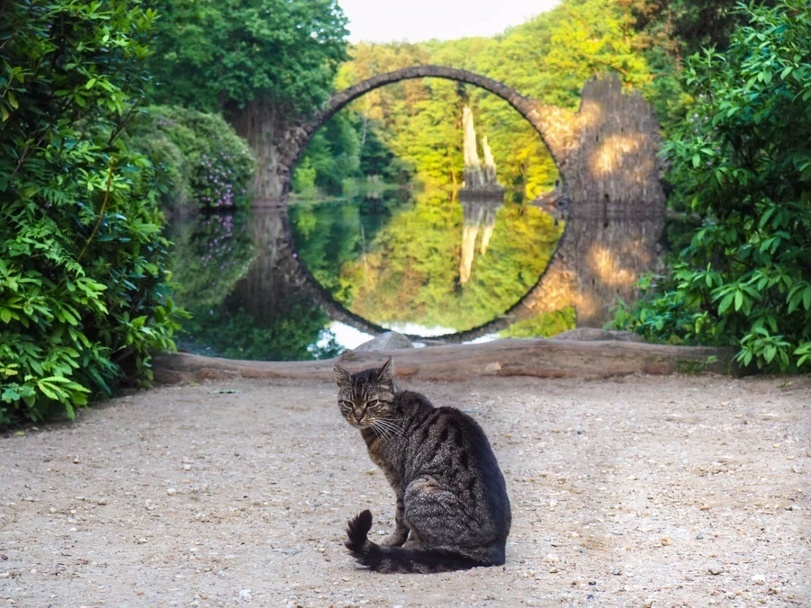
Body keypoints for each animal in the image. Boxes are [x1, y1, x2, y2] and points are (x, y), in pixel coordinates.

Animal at [334, 354, 510, 572]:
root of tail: (494, 550)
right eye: (348, 403)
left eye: (372, 402)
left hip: (418, 485)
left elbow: (400, 519)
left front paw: (394, 542)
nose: (358, 416)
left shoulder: (400, 481)